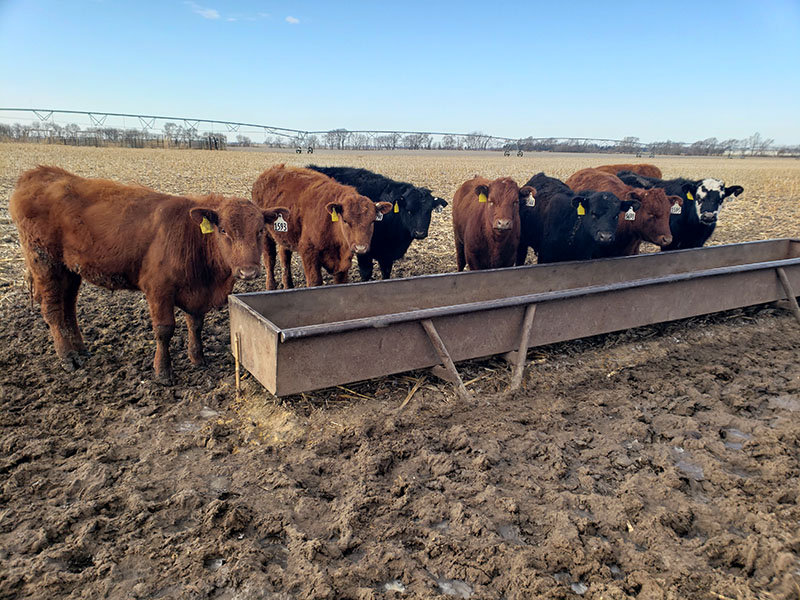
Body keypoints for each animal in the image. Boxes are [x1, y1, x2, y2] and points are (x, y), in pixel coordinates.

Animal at [9, 165, 288, 380]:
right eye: (223, 231)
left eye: (260, 230)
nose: (248, 271)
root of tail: (40, 173)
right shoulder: (158, 289)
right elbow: (164, 330)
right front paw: (163, 371)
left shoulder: (197, 291)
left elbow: (195, 324)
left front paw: (197, 358)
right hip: (46, 264)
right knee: (53, 310)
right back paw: (68, 357)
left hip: (69, 270)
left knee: (68, 308)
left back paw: (80, 350)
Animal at [252, 163, 392, 288]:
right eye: (345, 220)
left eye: (372, 221)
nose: (361, 248)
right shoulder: (308, 253)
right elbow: (315, 283)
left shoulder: (342, 266)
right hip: (266, 235)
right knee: (270, 261)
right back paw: (270, 287)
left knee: (285, 257)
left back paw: (288, 285)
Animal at [306, 165, 446, 280]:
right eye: (409, 210)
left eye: (428, 211)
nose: (420, 233)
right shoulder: (363, 250)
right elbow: (366, 273)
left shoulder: (387, 255)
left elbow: (386, 272)